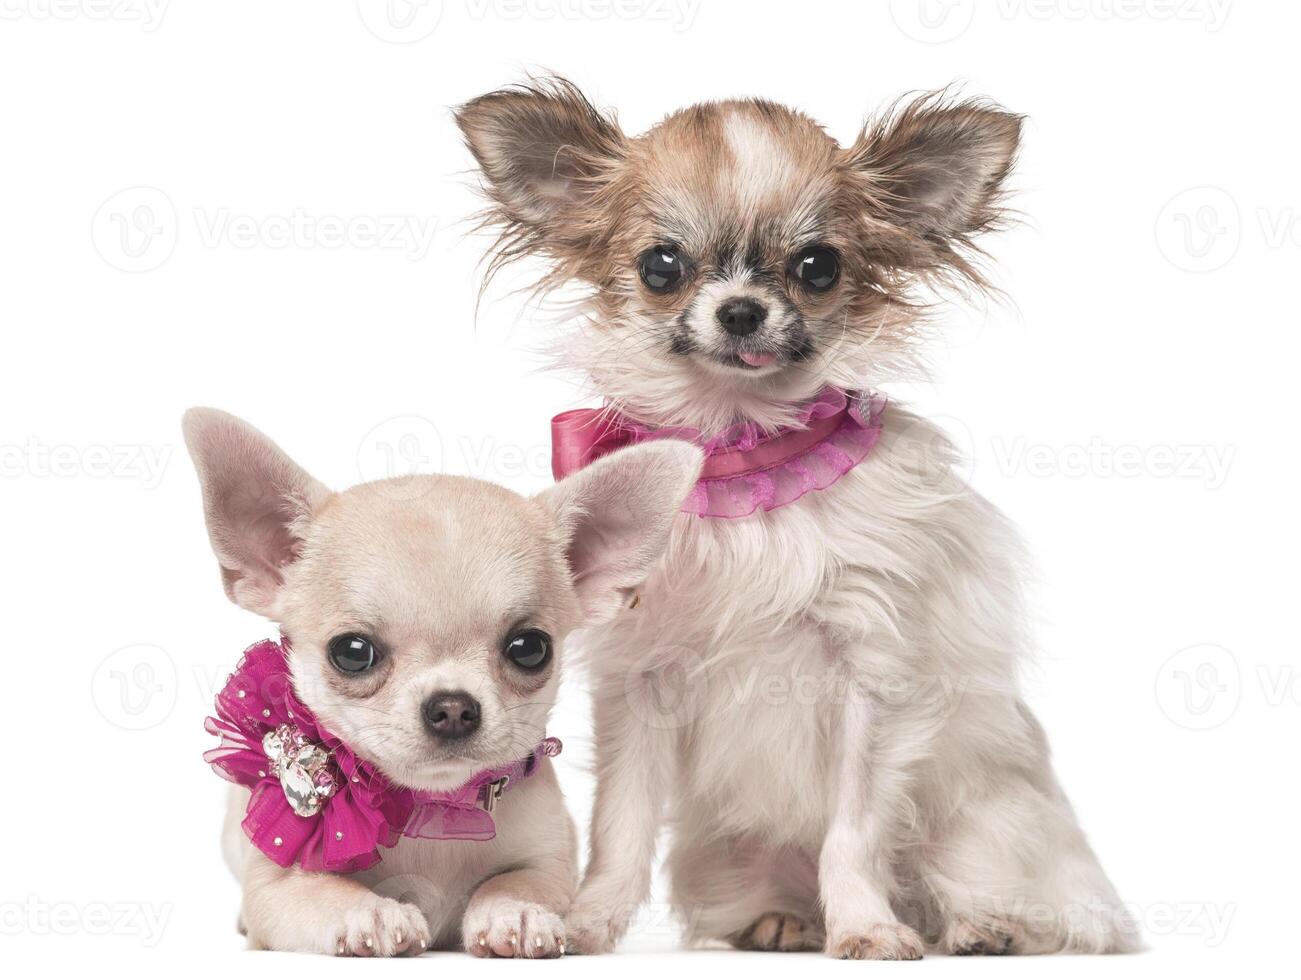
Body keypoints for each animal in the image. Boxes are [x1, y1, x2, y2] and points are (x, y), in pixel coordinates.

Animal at [183, 406, 702, 957]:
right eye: (351, 652)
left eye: (530, 648)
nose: (452, 707)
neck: (432, 809)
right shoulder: (277, 886)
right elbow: (322, 891)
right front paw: (370, 913)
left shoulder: (551, 860)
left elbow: (518, 880)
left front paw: (515, 912)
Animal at [457, 82, 1139, 957]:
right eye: (660, 266)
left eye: (818, 267)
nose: (742, 310)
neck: (746, 454)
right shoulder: (638, 684)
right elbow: (620, 823)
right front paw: (587, 920)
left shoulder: (869, 682)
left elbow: (853, 831)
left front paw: (866, 927)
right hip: (727, 857)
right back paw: (781, 922)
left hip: (985, 828)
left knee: (1021, 902)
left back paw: (982, 928)